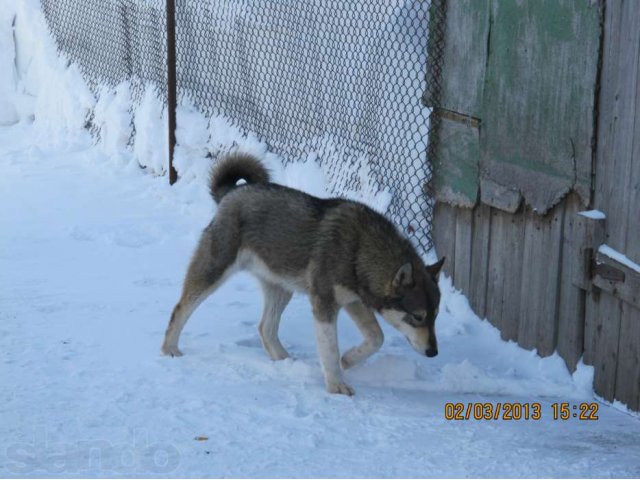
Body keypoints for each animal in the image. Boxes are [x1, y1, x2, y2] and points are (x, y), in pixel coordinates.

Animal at [162, 153, 442, 394]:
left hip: (281, 288)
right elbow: (330, 349)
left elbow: (377, 338)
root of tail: (232, 192)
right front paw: (336, 385)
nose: (433, 353)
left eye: (435, 316)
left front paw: (348, 360)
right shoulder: (324, 303)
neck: (360, 248)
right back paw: (170, 349)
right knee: (180, 309)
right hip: (214, 270)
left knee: (266, 328)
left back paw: (286, 362)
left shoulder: (353, 301)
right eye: (418, 317)